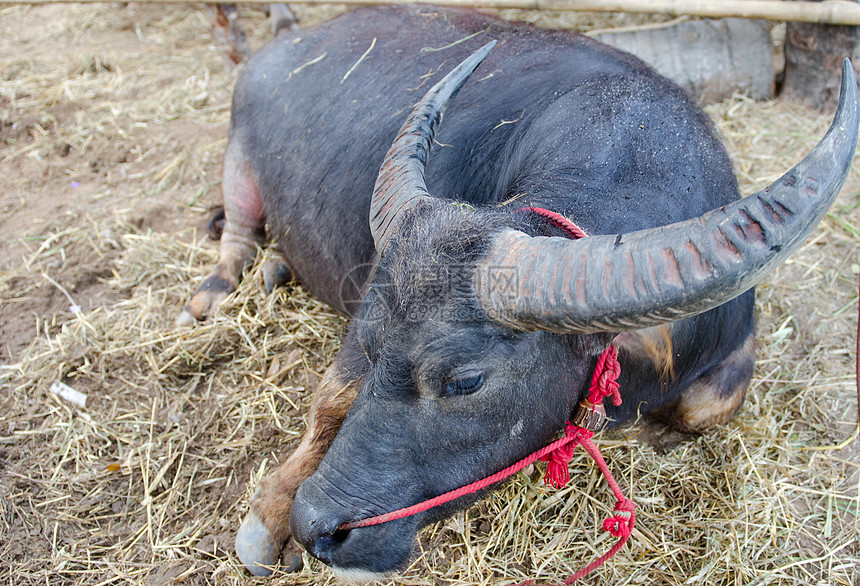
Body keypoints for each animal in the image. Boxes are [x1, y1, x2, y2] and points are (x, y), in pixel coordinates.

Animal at [178, 5, 856, 580]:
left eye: (466, 381)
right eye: (370, 348)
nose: (317, 524)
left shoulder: (734, 337)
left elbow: (709, 404)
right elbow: (332, 397)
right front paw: (270, 516)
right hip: (238, 159)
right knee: (236, 233)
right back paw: (219, 290)